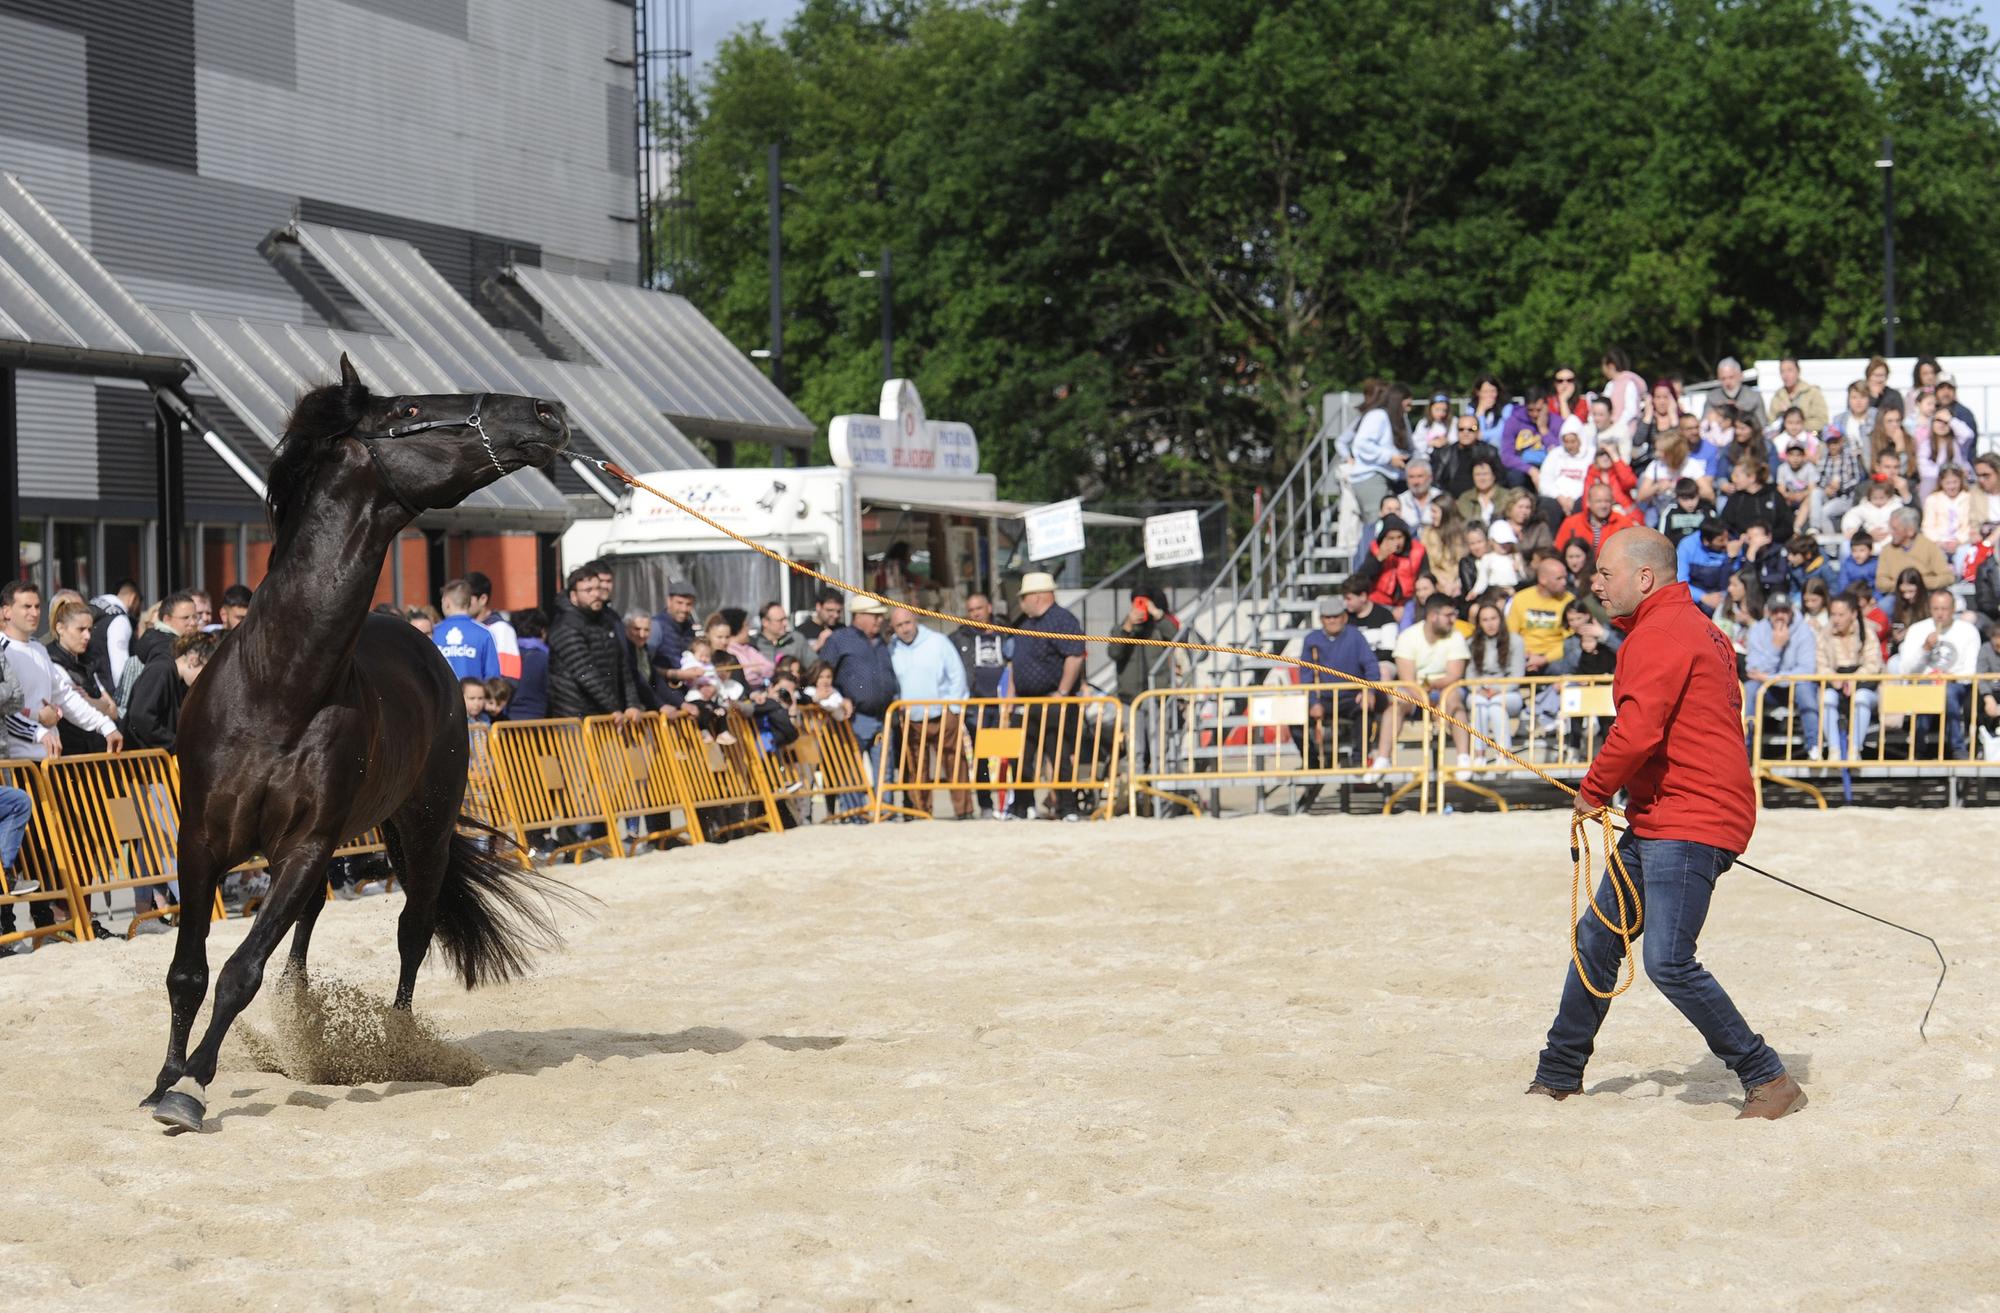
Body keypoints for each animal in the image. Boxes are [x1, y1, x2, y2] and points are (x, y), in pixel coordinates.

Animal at [146, 356, 572, 1128]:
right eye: (407, 410)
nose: (545, 412)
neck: (278, 687)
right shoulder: (200, 840)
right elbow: (188, 969)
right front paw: (165, 1081)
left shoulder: (307, 843)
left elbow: (240, 970)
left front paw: (192, 1087)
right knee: (311, 925)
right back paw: (305, 1027)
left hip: (421, 832)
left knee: (412, 930)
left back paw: (399, 1045)